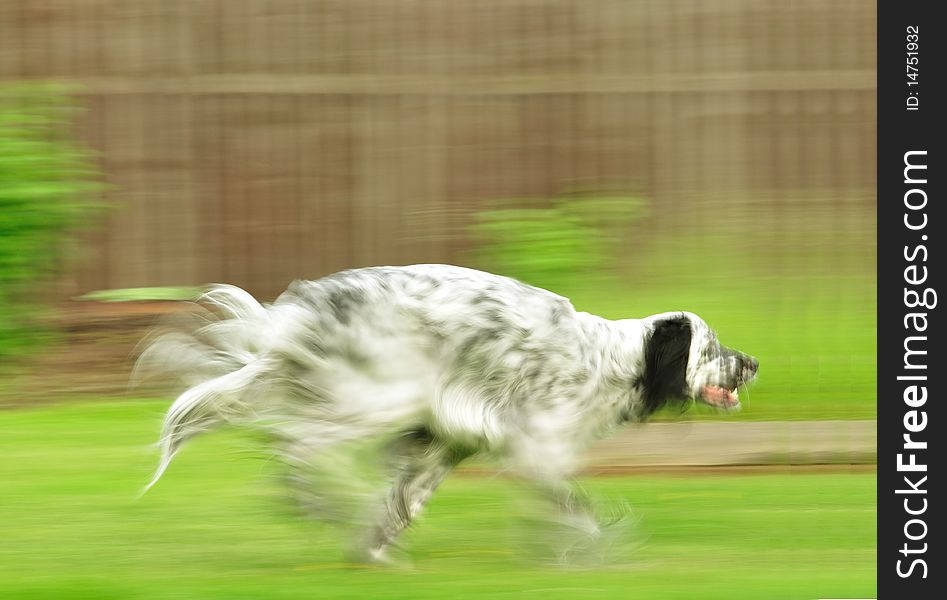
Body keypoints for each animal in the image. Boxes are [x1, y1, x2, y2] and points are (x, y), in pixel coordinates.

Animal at [141, 264, 760, 560]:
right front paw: (604, 549)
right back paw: (316, 503)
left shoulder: (446, 446)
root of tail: (305, 307)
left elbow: (401, 505)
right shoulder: (538, 449)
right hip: (375, 398)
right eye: (713, 349)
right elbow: (578, 509)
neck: (610, 359)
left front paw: (373, 552)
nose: (752, 362)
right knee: (297, 446)